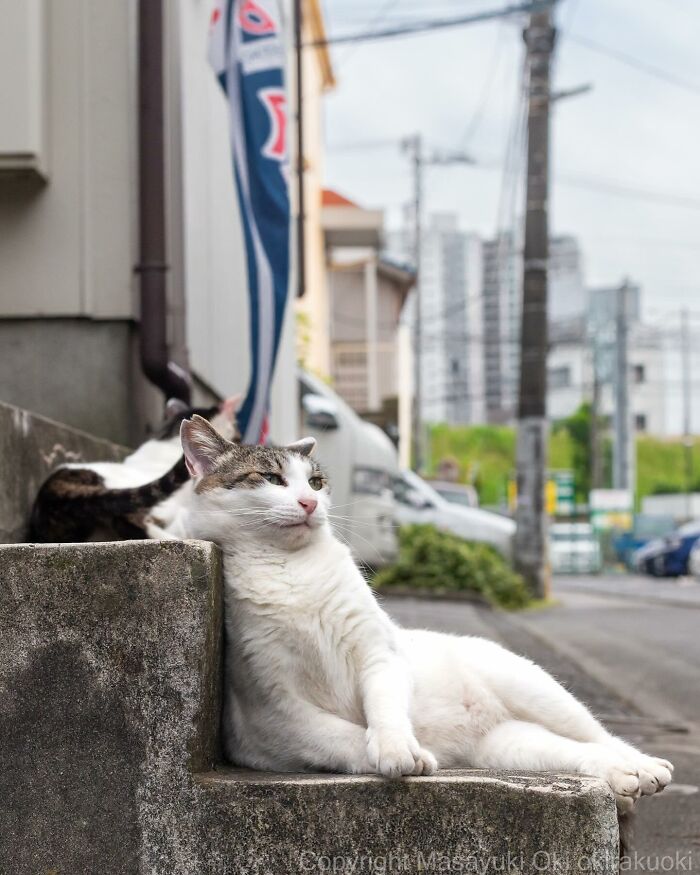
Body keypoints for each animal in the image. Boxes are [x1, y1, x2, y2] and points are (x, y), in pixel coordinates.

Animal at [170, 418, 672, 816]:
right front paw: (407, 758)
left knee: (599, 735)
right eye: (271, 478)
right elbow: (345, 737)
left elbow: (385, 710)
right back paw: (621, 779)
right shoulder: (276, 714)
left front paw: (397, 749)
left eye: (314, 483)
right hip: (512, 745)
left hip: (535, 689)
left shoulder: (379, 657)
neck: (290, 571)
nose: (310, 504)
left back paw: (645, 766)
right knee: (576, 752)